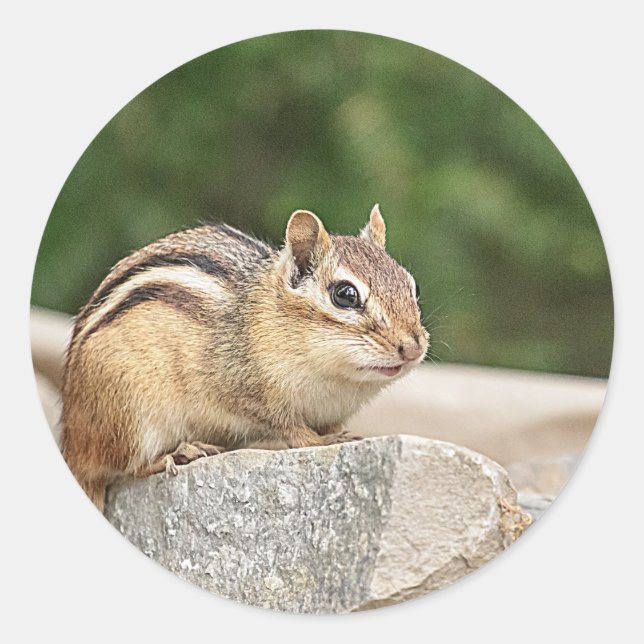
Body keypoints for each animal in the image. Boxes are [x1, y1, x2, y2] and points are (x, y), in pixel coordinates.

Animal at [61, 205, 429, 511]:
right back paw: (179, 453)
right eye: (345, 295)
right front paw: (323, 439)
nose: (413, 347)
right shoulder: (246, 390)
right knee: (128, 466)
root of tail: (71, 440)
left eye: (412, 286)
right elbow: (291, 430)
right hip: (132, 414)